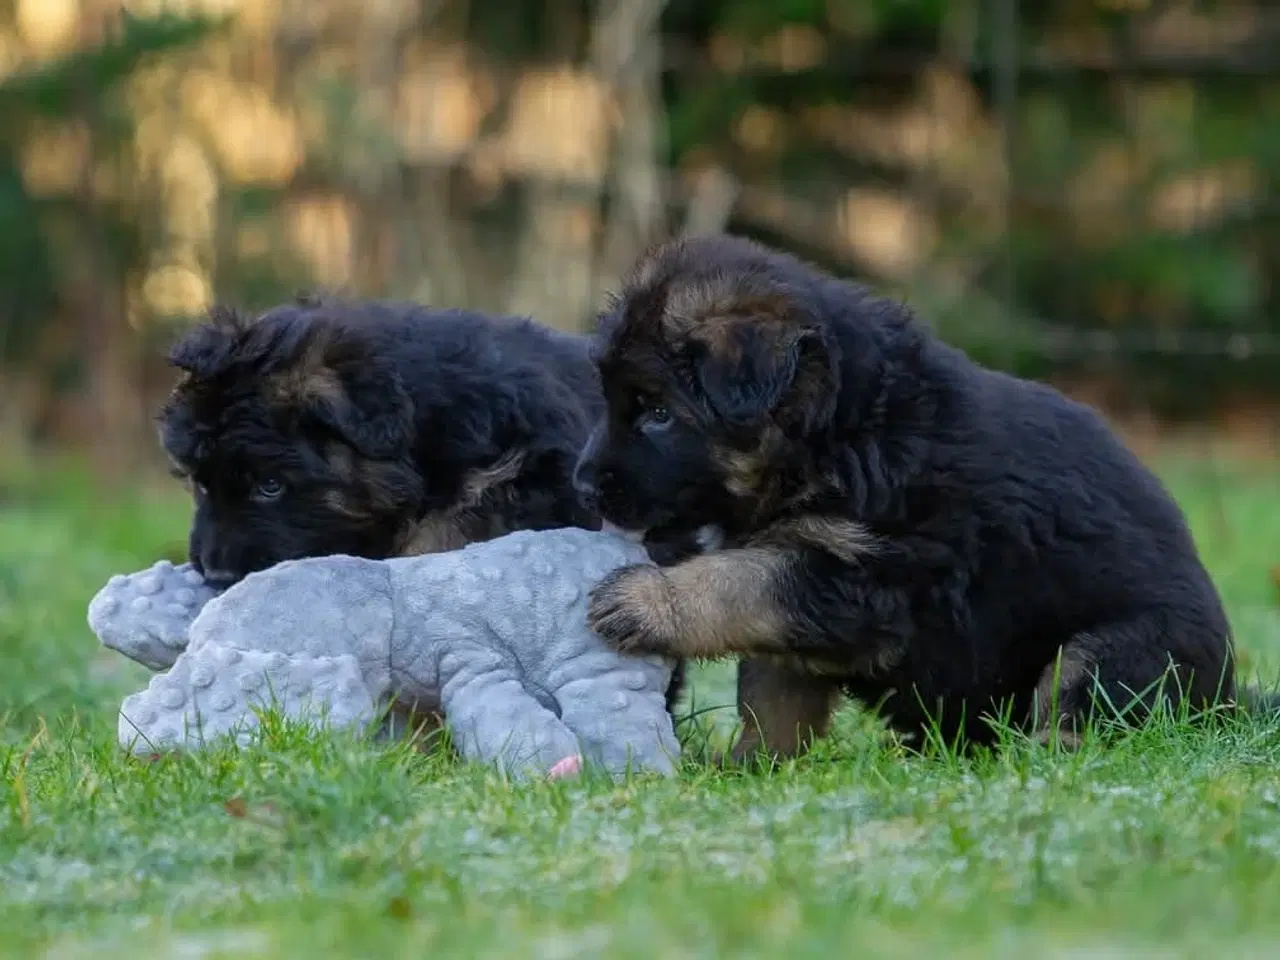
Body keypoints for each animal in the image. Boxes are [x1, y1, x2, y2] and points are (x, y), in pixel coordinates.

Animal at [581, 235, 1269, 757]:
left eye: (658, 414)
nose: (584, 485)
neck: (840, 432)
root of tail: (1229, 700)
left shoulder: (861, 577)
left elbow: (738, 582)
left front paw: (645, 600)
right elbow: (772, 691)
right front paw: (753, 766)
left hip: (1118, 650)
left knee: (1080, 705)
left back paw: (1036, 756)